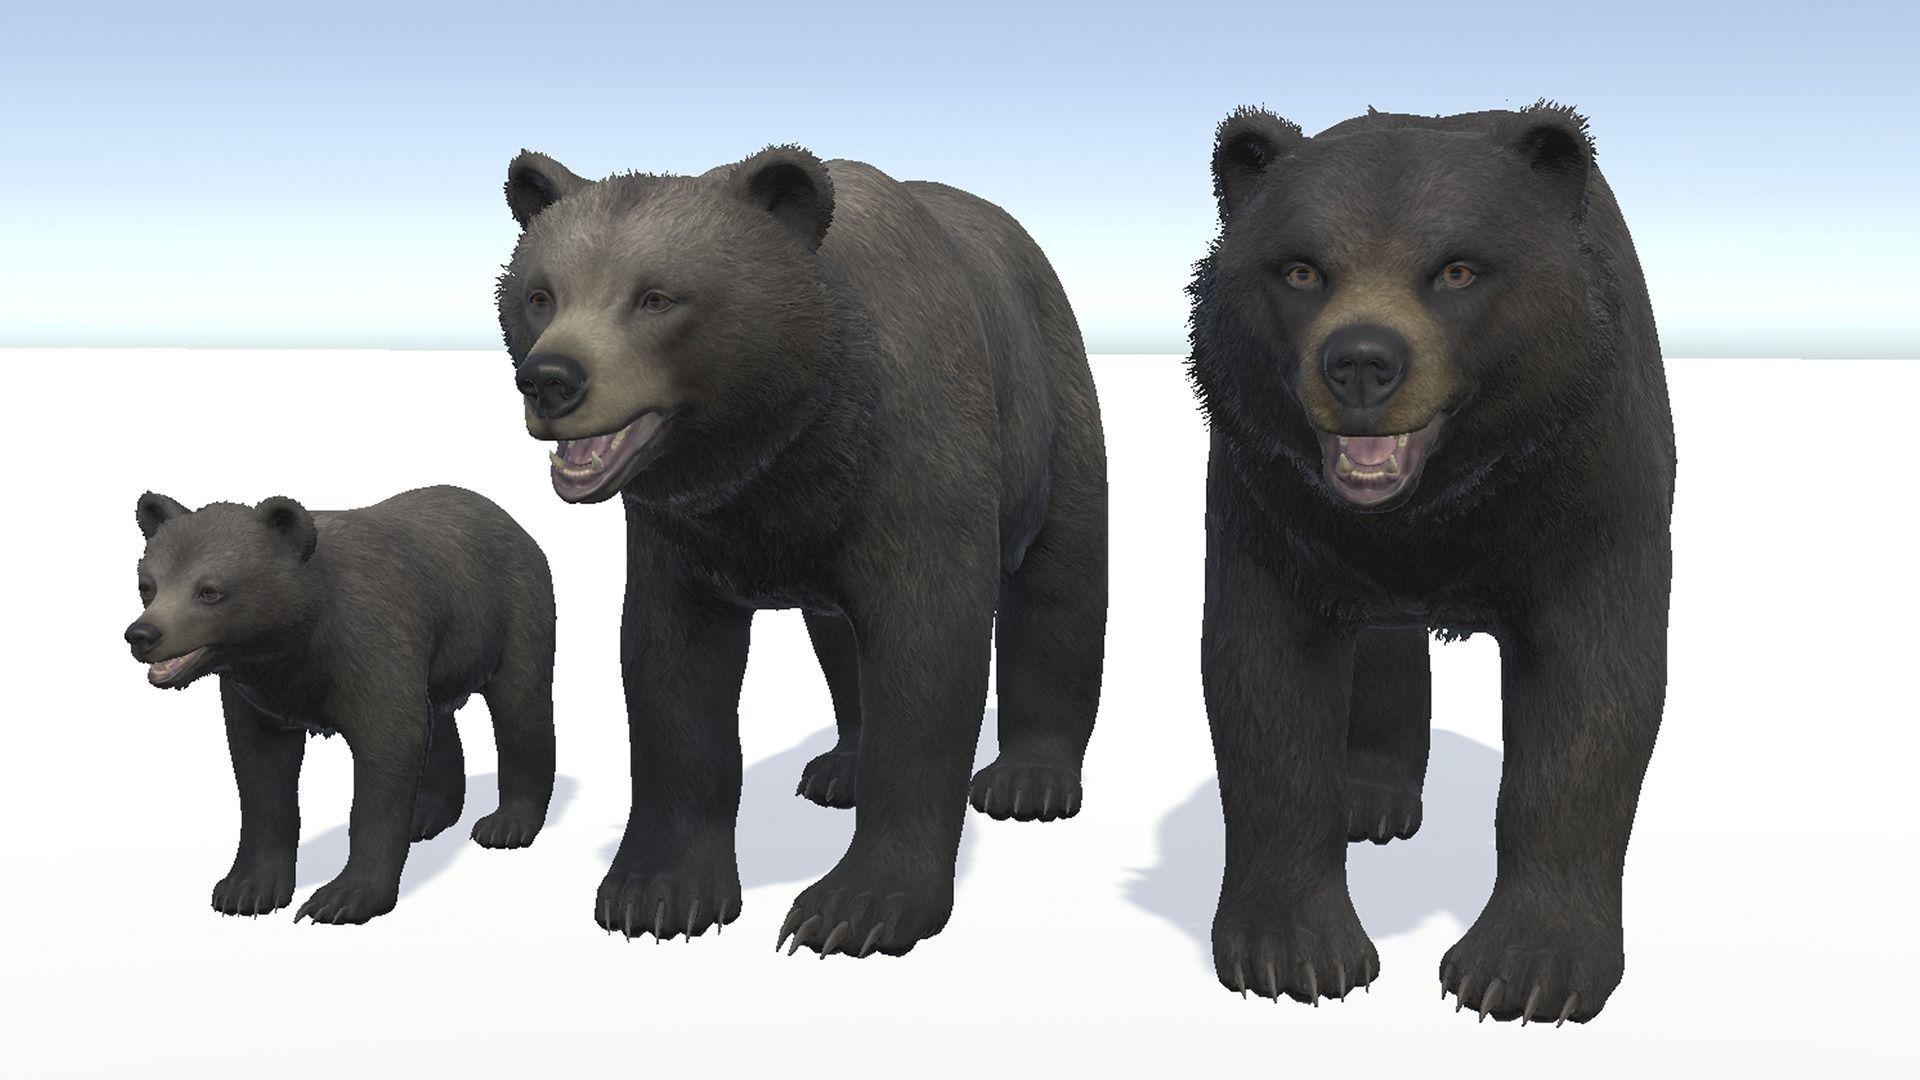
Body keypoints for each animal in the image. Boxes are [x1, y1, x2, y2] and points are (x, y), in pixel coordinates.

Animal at [125, 485, 558, 924]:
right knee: (436, 718)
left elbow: (388, 751)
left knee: (520, 708)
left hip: (511, 612)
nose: (142, 634)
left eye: (209, 590)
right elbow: (261, 773)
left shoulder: (371, 647)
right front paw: (246, 888)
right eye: (148, 585)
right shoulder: (257, 695)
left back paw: (507, 823)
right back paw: (427, 813)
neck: (295, 645)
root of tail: (509, 520)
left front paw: (341, 897)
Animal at [495, 144, 1108, 956]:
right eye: (540, 294)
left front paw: (855, 906)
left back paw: (1028, 779)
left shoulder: (916, 459)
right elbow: (671, 674)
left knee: (1061, 581)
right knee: (839, 636)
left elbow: (927, 657)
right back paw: (840, 768)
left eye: (656, 297)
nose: (550, 379)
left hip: (1050, 403)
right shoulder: (683, 533)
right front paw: (658, 891)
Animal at [1185, 102, 1675, 1023]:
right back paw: (1372, 800)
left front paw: (1525, 970)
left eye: (1456, 269)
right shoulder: (1273, 508)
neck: (1434, 514)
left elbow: (1590, 697)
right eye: (1301, 269)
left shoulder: (1588, 492)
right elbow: (1266, 692)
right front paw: (1295, 953)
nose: (1361, 362)